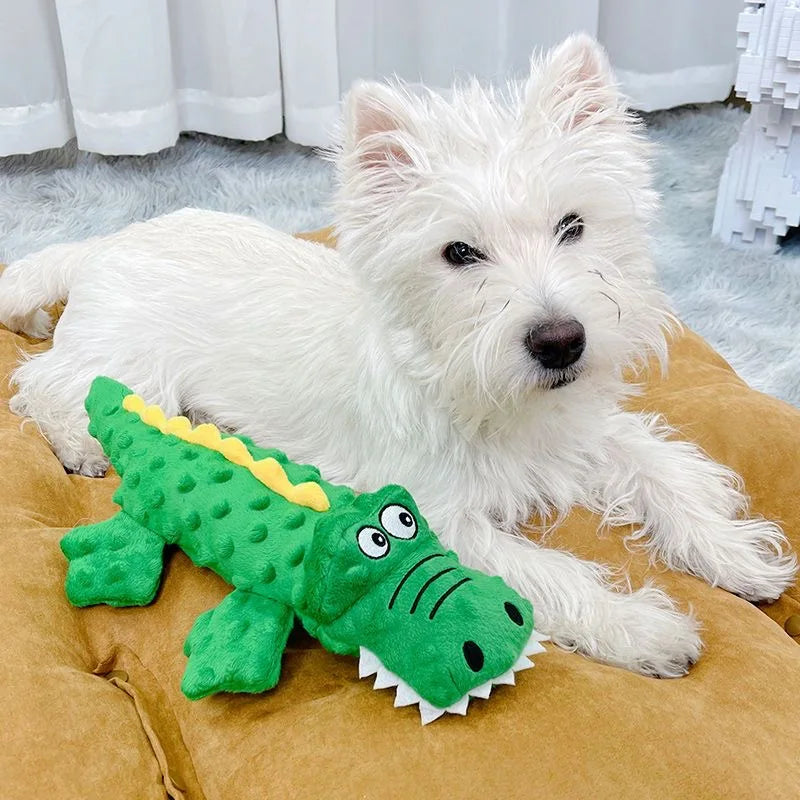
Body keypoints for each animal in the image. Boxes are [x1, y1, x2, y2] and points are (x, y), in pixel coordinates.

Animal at [0, 36, 792, 676]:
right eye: (460, 253)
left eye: (573, 225)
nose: (561, 341)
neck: (484, 389)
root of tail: (103, 244)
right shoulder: (438, 515)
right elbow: (546, 573)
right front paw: (643, 628)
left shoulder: (583, 430)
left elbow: (665, 471)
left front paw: (737, 554)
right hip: (133, 364)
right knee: (41, 380)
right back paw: (79, 445)